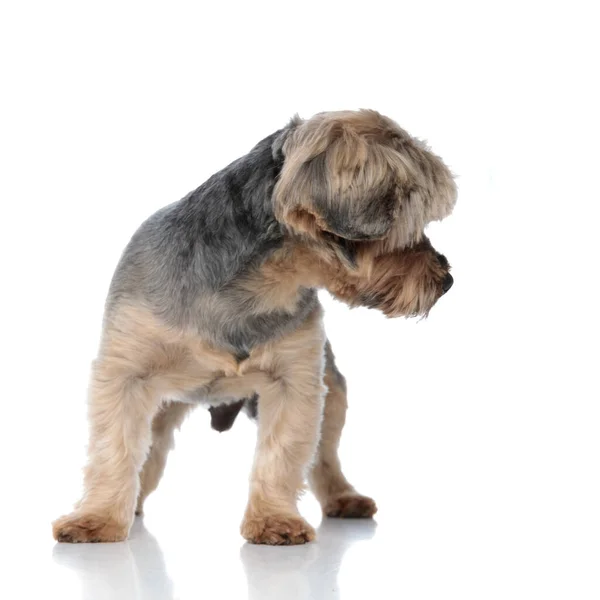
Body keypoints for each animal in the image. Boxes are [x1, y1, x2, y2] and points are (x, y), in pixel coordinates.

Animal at [52, 108, 454, 544]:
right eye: (410, 223)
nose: (447, 280)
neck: (259, 286)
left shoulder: (296, 380)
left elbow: (283, 453)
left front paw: (274, 520)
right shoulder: (126, 372)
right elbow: (114, 448)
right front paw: (97, 519)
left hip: (333, 392)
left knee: (325, 454)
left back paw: (342, 498)